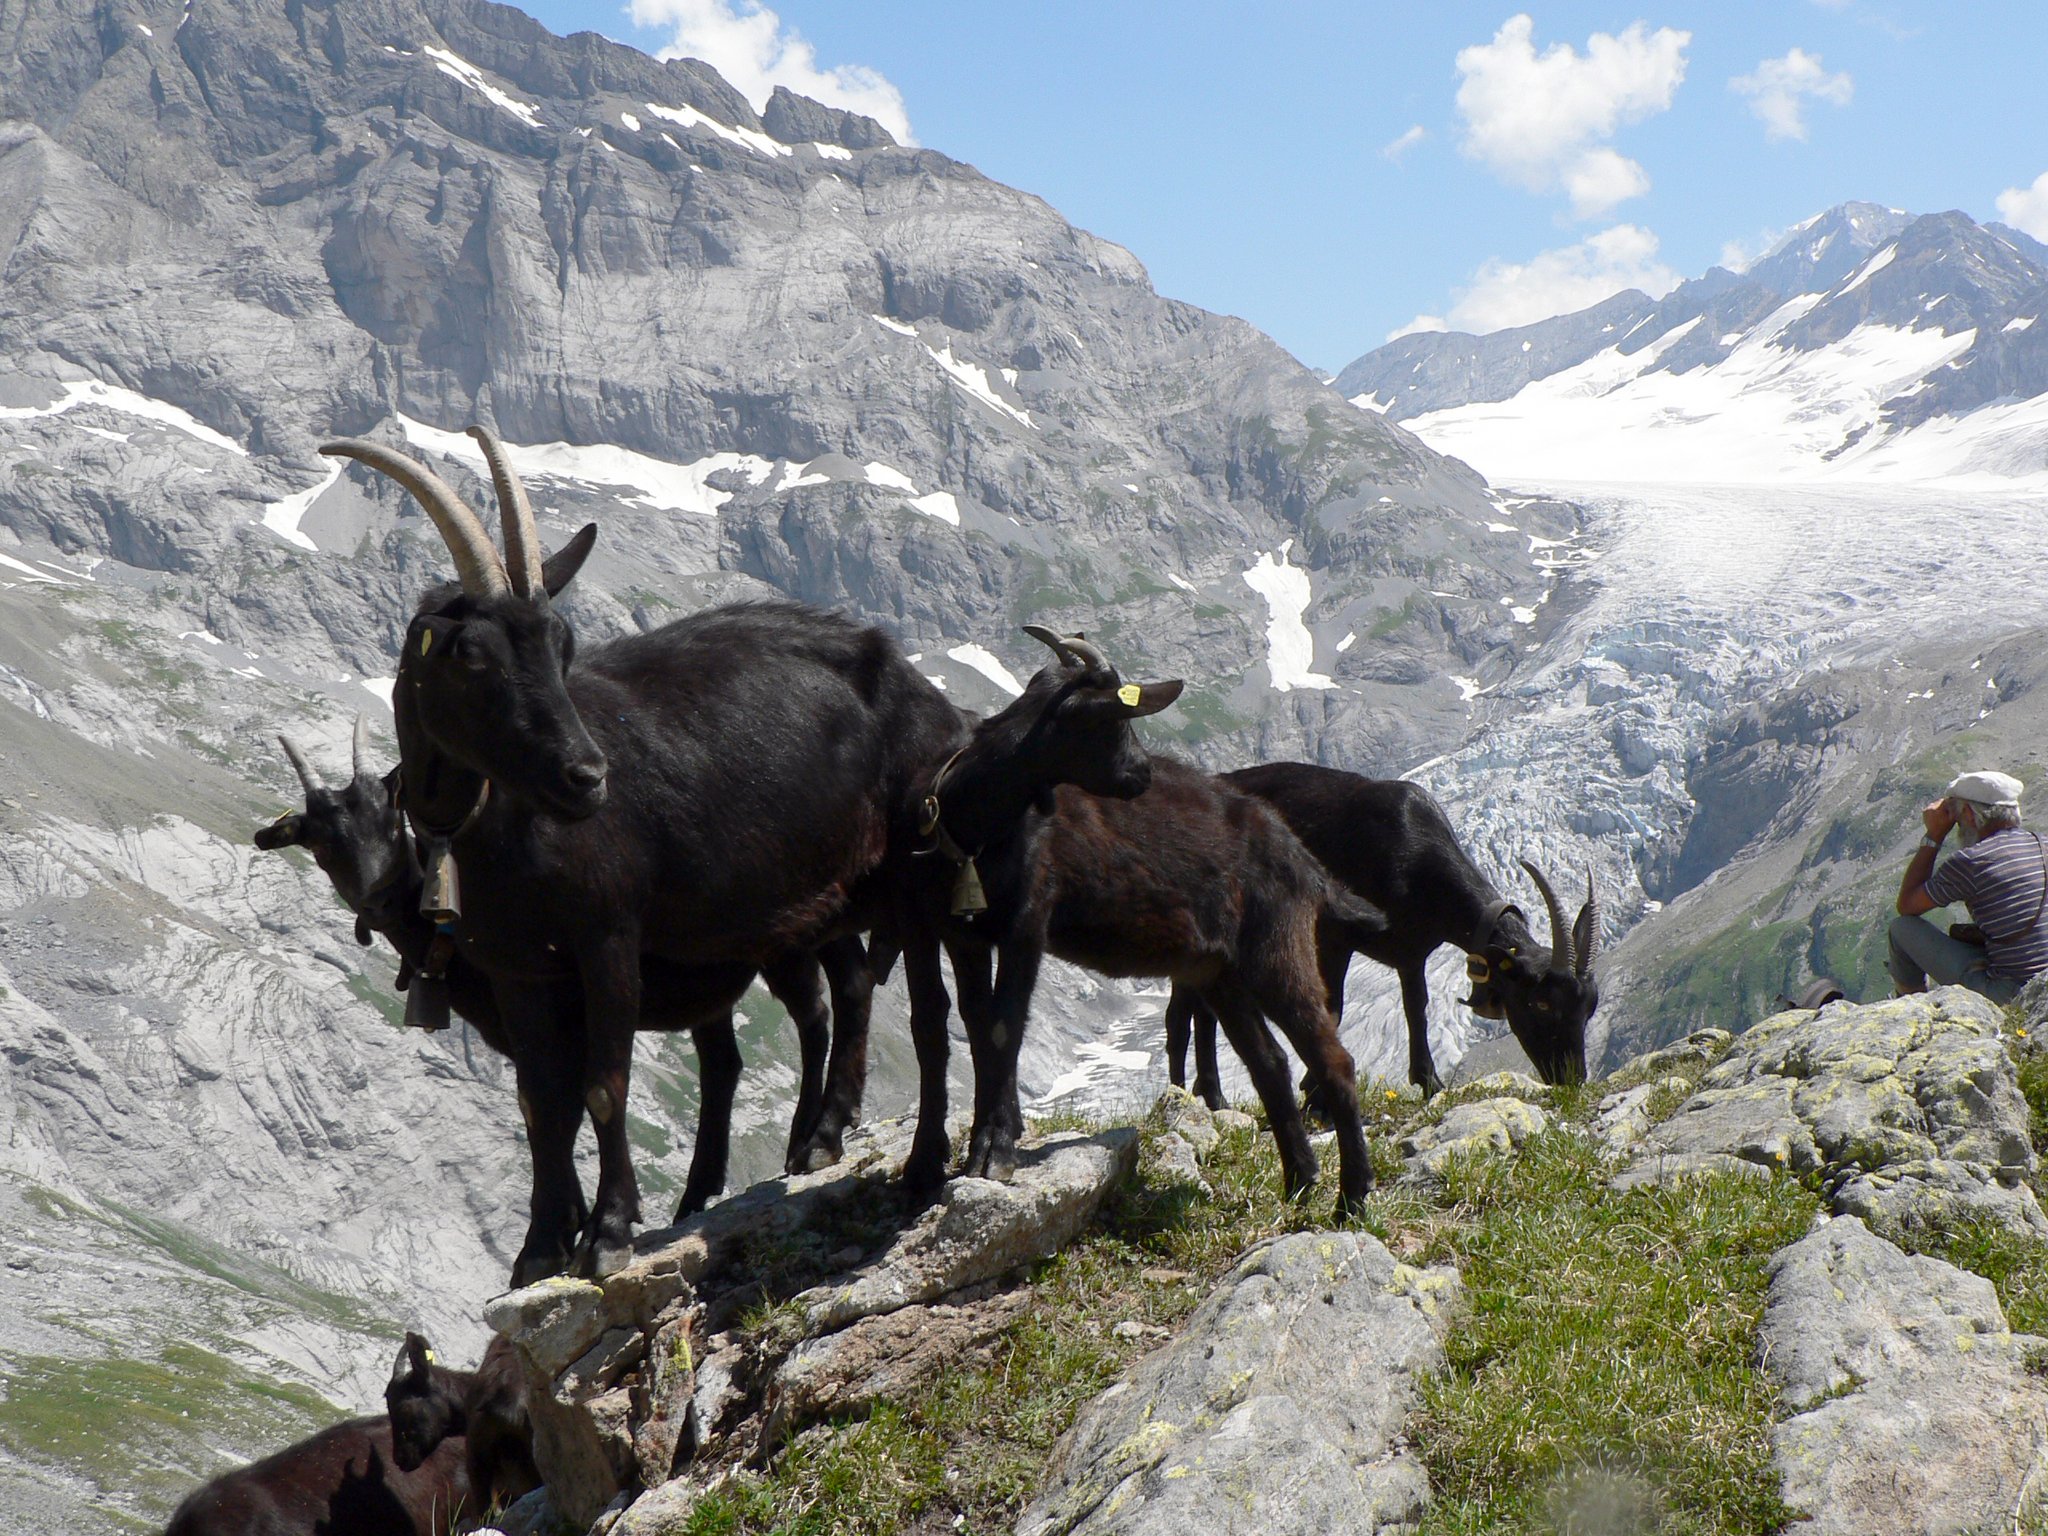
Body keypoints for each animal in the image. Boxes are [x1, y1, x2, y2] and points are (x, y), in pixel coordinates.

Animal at [253, 729, 870, 1216]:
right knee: (732, 1059)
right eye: (319, 841)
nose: (377, 897)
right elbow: (545, 1110)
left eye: (391, 816)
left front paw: (570, 1225)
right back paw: (701, 1192)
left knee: (822, 1006)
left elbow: (563, 1108)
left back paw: (810, 1137)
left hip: (789, 935)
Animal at [319, 429, 957, 1280]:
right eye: (471, 654)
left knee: (895, 1002)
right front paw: (538, 1250)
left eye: (563, 644)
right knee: (850, 985)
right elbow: (541, 1102)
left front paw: (609, 1233)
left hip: (898, 877)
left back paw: (851, 1145)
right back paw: (820, 1133)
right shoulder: (521, 968)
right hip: (815, 903)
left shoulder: (608, 937)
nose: (587, 776)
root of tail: (918, 684)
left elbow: (604, 1085)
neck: (495, 831)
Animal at [894, 630, 1384, 1214]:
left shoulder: (1027, 922)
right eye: (1114, 722)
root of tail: (1304, 862)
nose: (1144, 772)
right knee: (1270, 1063)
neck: (975, 827)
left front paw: (994, 1151)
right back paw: (1301, 1181)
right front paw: (980, 1143)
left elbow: (1002, 1027)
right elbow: (977, 1024)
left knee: (1334, 1060)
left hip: (1276, 948)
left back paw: (1353, 1196)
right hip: (1218, 972)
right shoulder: (962, 933)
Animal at [1164, 762, 1600, 1101]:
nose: (1572, 1079)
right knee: (1184, 1013)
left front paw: (1429, 1081)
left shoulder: (1411, 951)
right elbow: (1335, 1006)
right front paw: (1316, 1094)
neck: (1415, 857)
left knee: (1197, 1009)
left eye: (1588, 1010)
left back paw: (1203, 1094)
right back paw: (1198, 1096)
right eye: (1540, 1003)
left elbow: (1416, 1007)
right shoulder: (1335, 937)